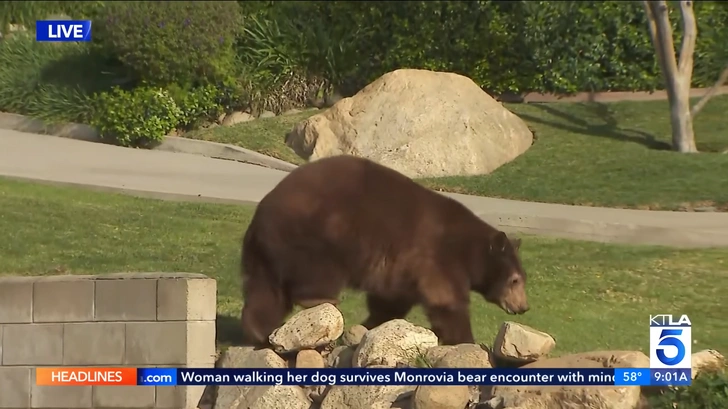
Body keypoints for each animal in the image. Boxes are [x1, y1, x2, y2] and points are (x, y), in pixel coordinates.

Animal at [239, 155, 529, 346]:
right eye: (515, 280)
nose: (524, 306)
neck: (469, 250)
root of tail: (260, 214)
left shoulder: (402, 269)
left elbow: (390, 301)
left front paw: (369, 325)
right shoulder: (439, 256)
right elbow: (446, 299)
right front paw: (466, 340)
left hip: (268, 252)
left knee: (266, 291)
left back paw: (259, 331)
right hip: (316, 234)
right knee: (315, 272)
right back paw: (322, 299)